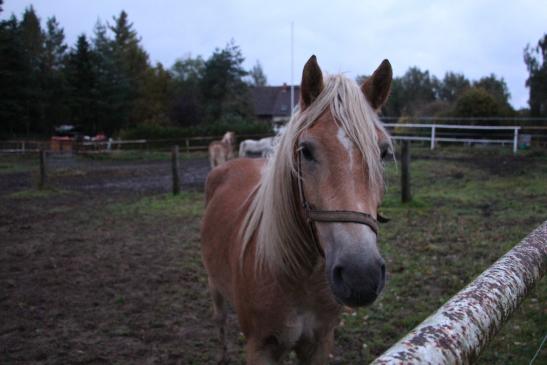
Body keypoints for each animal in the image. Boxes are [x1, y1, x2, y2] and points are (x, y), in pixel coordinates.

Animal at [201, 55, 394, 362]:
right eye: (306, 150)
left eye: (384, 153)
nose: (360, 275)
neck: (299, 277)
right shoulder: (260, 348)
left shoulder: (320, 342)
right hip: (213, 283)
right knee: (219, 319)